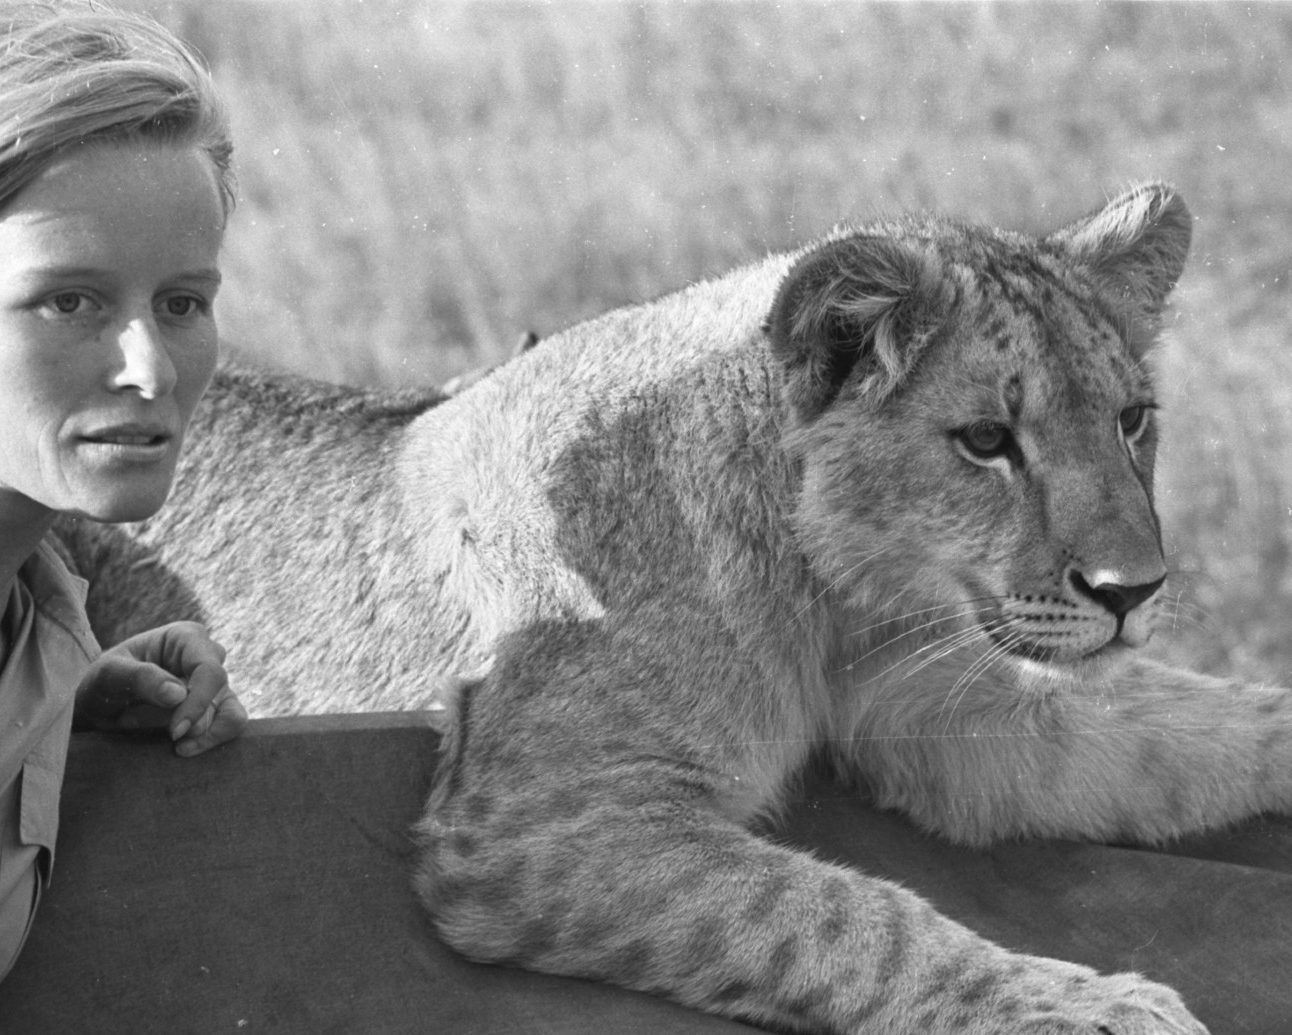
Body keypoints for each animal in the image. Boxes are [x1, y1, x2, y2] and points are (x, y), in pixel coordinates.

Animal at [50, 182, 1281, 1028]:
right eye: (986, 441)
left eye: (1131, 419)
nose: (1131, 592)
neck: (835, 602)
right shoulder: (532, 826)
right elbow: (846, 915)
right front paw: (1098, 1005)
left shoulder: (951, 717)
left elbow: (1190, 728)